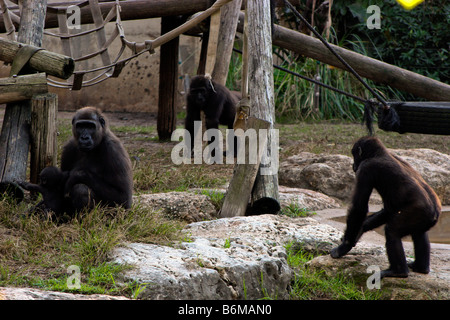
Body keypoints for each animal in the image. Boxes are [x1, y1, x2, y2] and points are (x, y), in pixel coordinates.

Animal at [330, 135, 442, 278]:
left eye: (354, 154)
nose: (353, 165)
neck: (379, 153)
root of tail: (435, 213)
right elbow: (388, 209)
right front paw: (361, 229)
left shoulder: (366, 169)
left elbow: (359, 207)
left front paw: (344, 246)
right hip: (424, 219)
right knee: (419, 233)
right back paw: (421, 267)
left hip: (417, 214)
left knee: (392, 231)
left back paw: (398, 271)